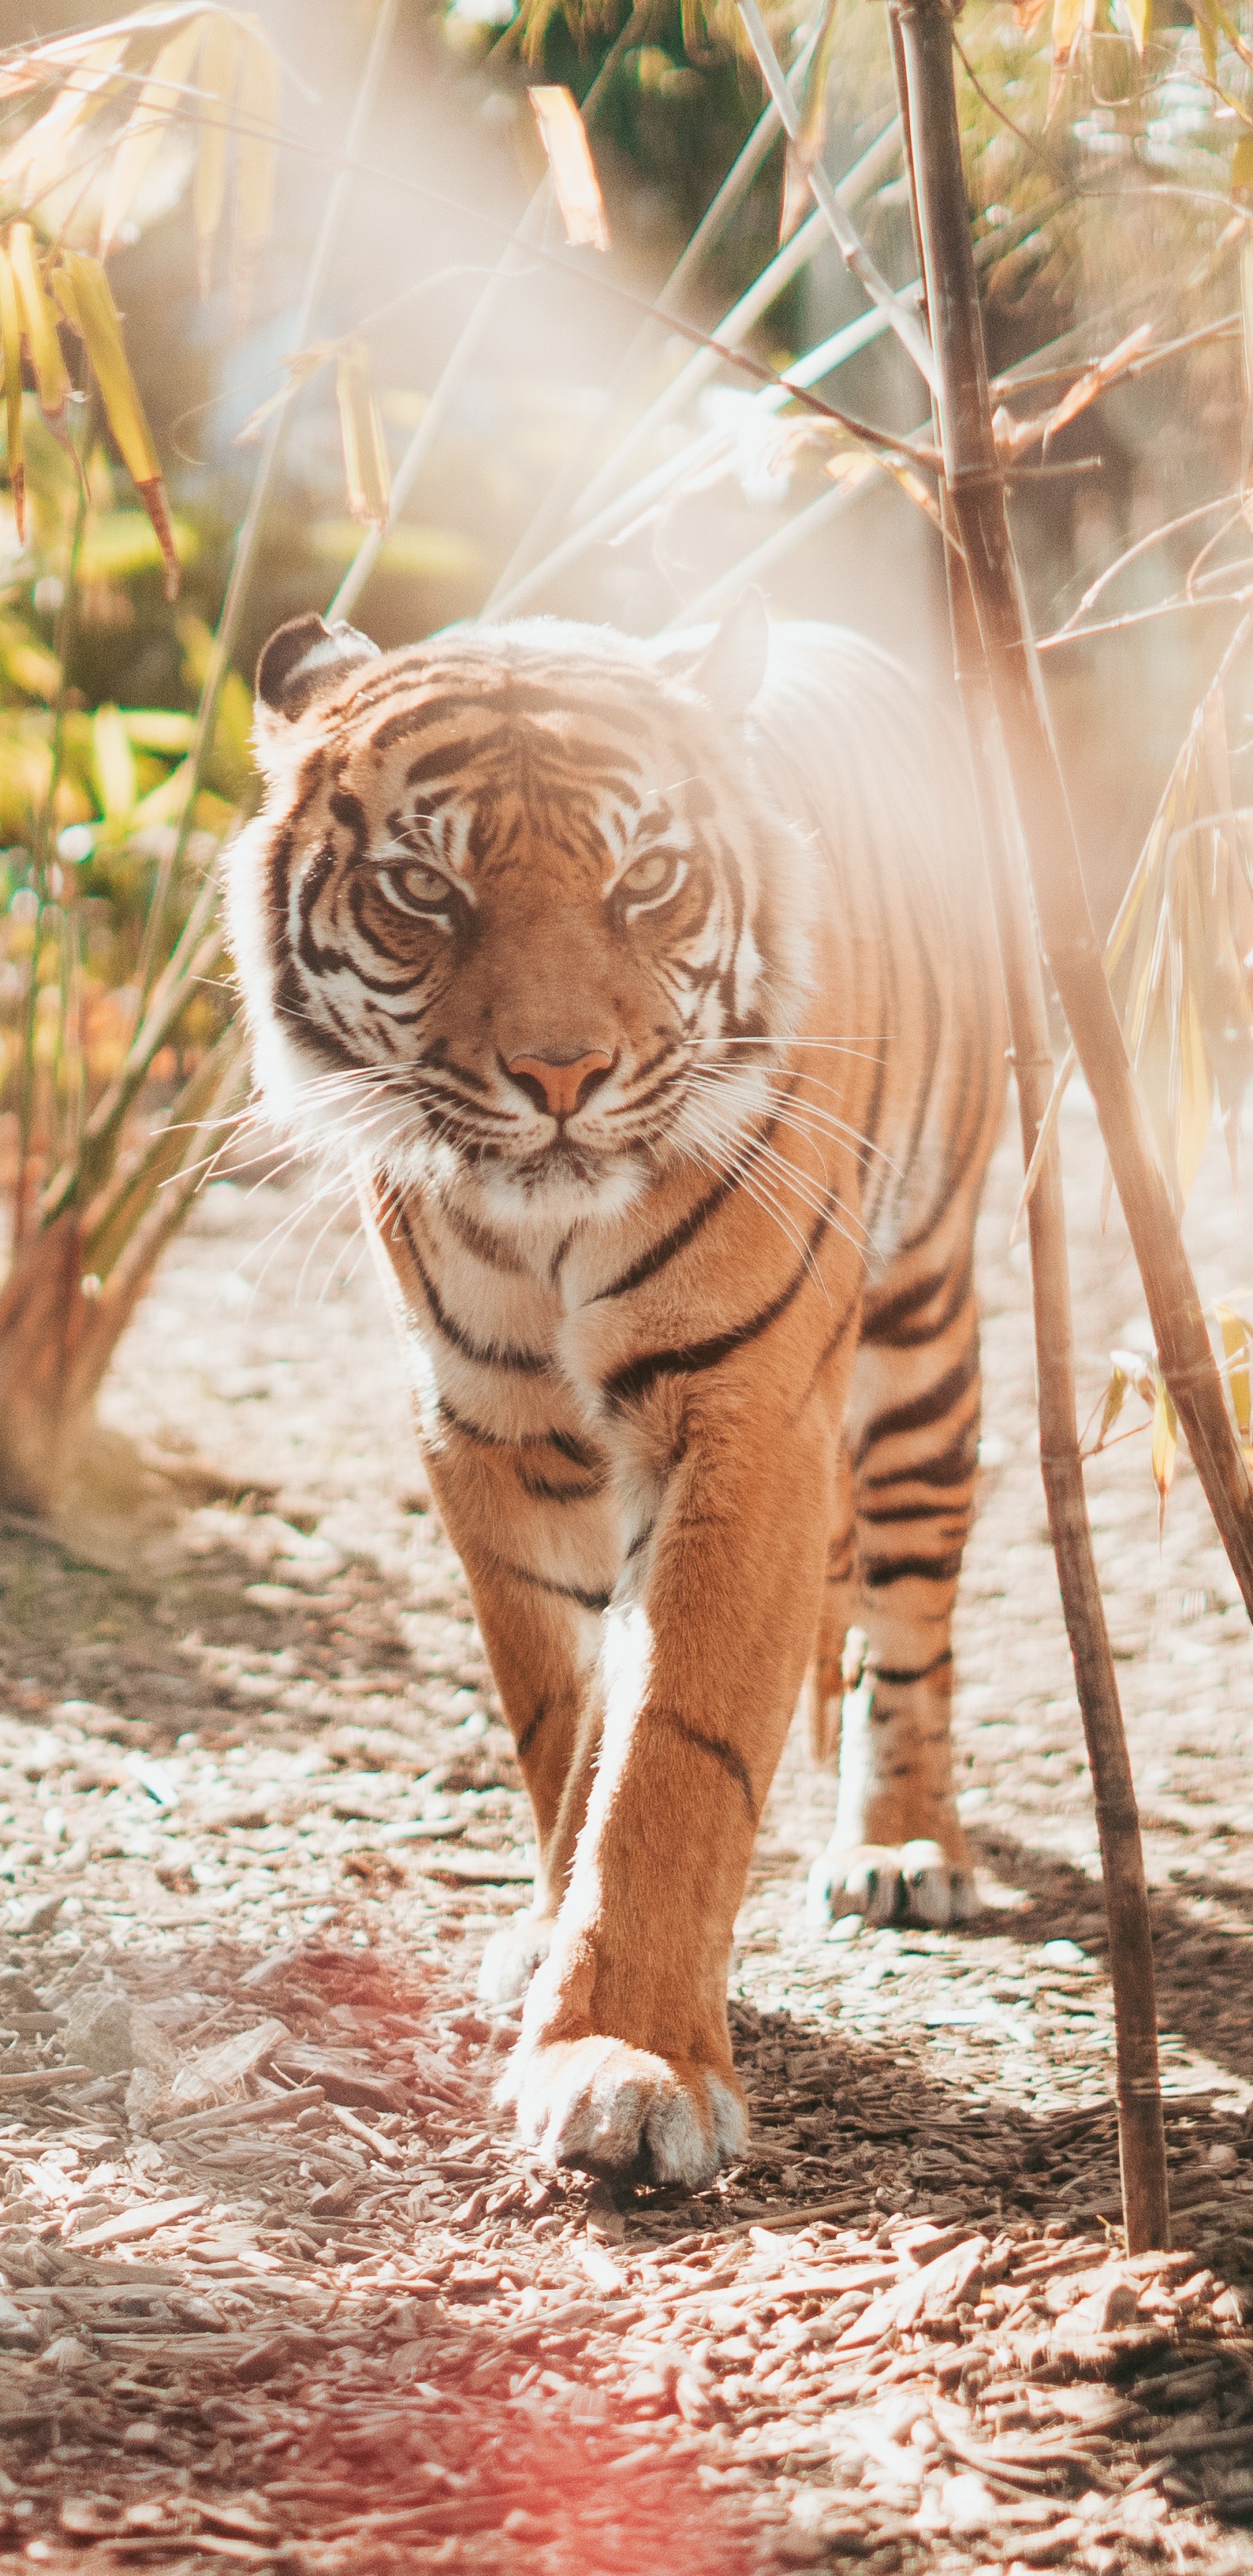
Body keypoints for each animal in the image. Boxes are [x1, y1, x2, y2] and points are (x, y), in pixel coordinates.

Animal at [226, 593, 1006, 2190]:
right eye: (423, 888)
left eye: (646, 880)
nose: (561, 1073)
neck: (545, 1235)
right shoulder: (488, 1433)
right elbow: (565, 1725)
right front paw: (549, 1943)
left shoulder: (745, 1418)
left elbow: (672, 1754)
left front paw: (628, 2061)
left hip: (921, 1337)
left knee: (910, 1615)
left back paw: (904, 1845)